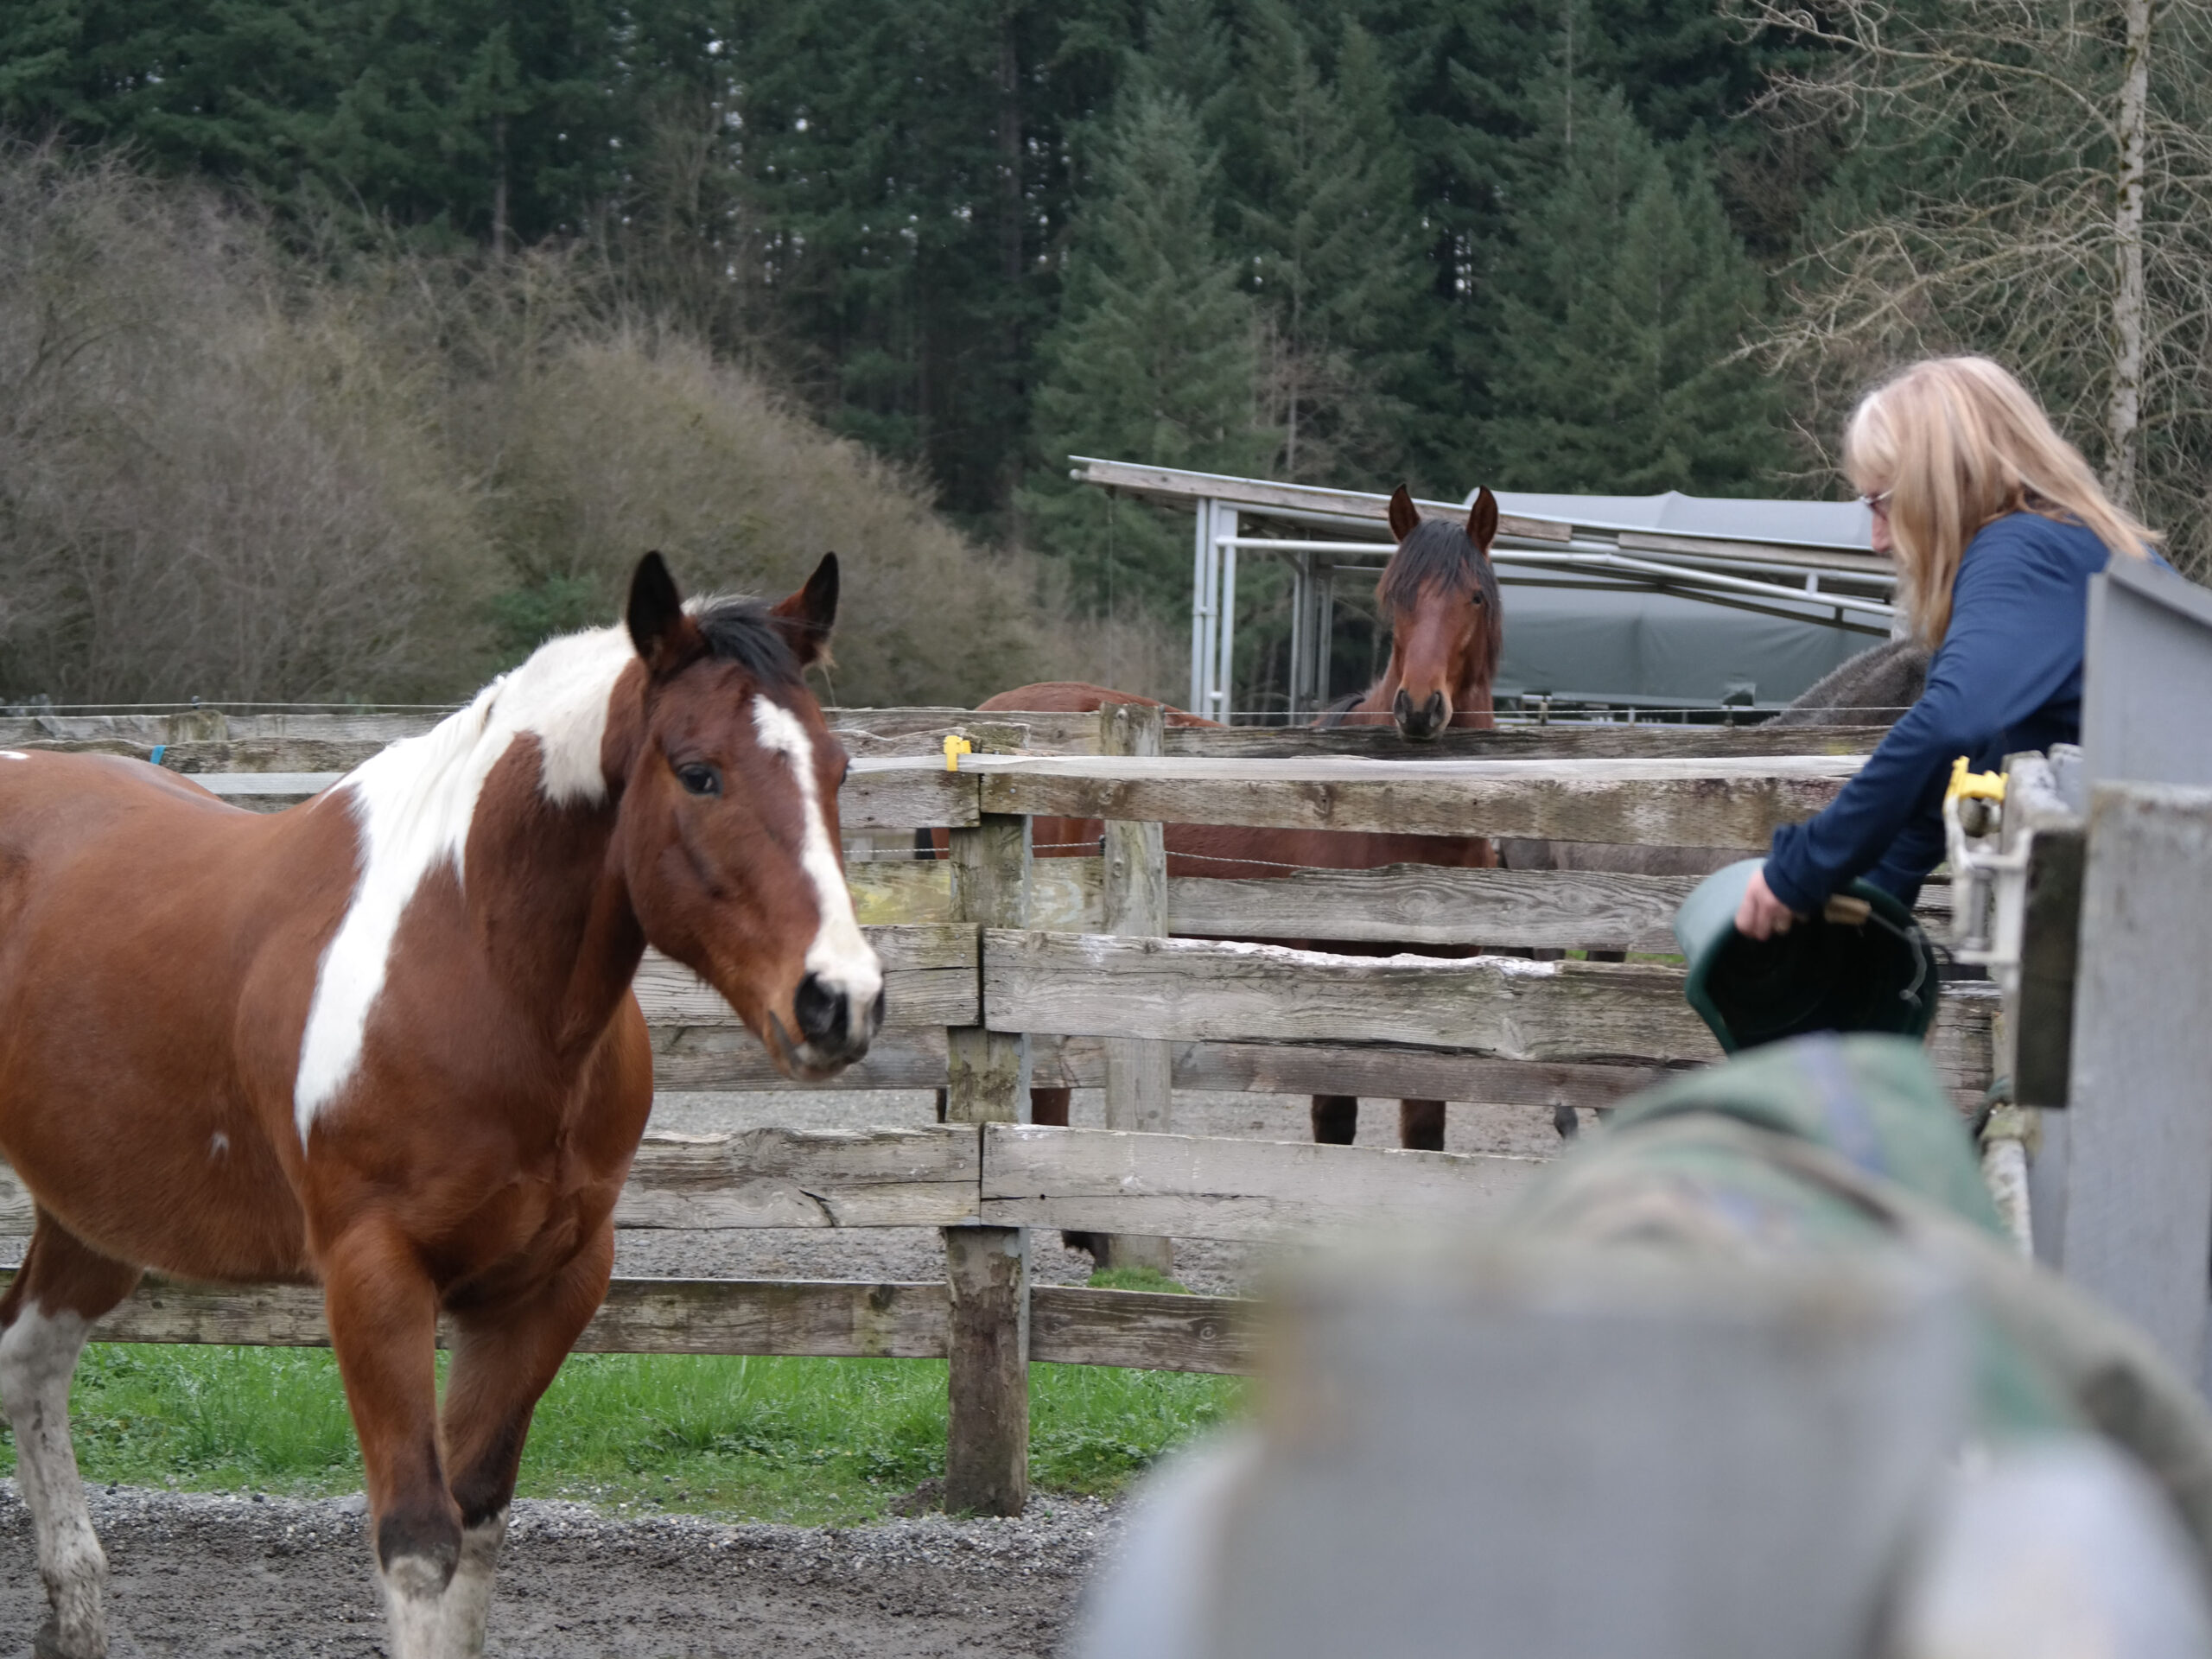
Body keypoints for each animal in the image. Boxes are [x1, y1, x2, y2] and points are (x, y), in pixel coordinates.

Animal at [0, 552, 882, 1659]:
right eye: (698, 771)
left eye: (836, 770)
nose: (838, 999)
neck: (476, 966)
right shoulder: (374, 1277)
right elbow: (419, 1541)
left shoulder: (547, 1285)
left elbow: (478, 1520)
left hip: (96, 1211)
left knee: (30, 1358)